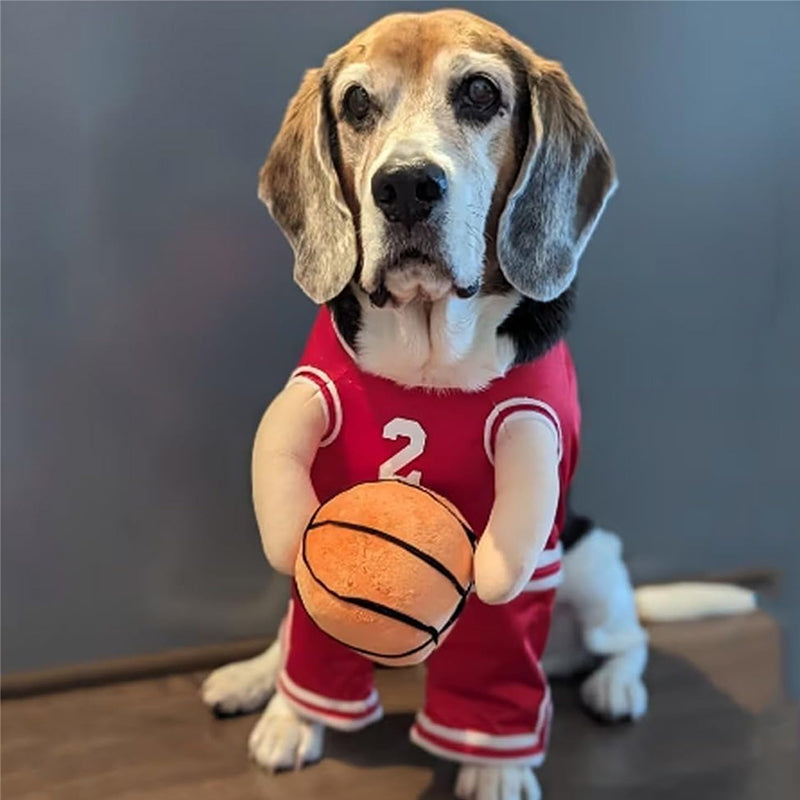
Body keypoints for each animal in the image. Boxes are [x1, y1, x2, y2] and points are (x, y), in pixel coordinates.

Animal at [203, 10, 648, 800]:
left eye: (480, 92)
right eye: (355, 103)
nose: (407, 186)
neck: (429, 355)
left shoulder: (528, 539)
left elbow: (499, 673)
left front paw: (493, 765)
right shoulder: (319, 503)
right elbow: (307, 642)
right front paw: (293, 716)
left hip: (593, 559)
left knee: (629, 641)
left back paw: (616, 686)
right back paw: (253, 677)